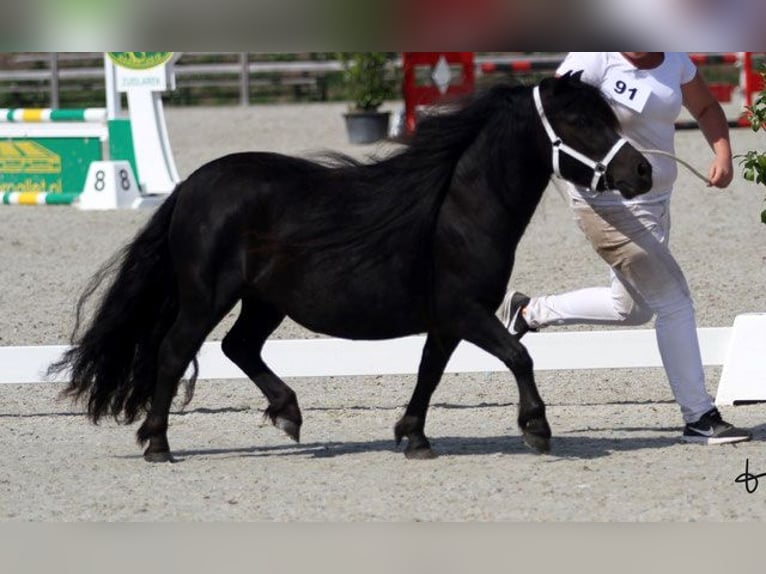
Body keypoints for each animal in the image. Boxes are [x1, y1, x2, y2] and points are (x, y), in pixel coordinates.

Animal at [48, 74, 652, 466]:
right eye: (578, 120)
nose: (642, 171)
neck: (457, 208)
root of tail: (193, 185)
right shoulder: (466, 312)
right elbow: (518, 356)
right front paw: (537, 429)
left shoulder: (447, 321)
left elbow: (429, 374)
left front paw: (413, 437)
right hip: (206, 297)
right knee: (174, 353)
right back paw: (158, 444)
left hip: (263, 301)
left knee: (239, 348)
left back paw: (288, 414)